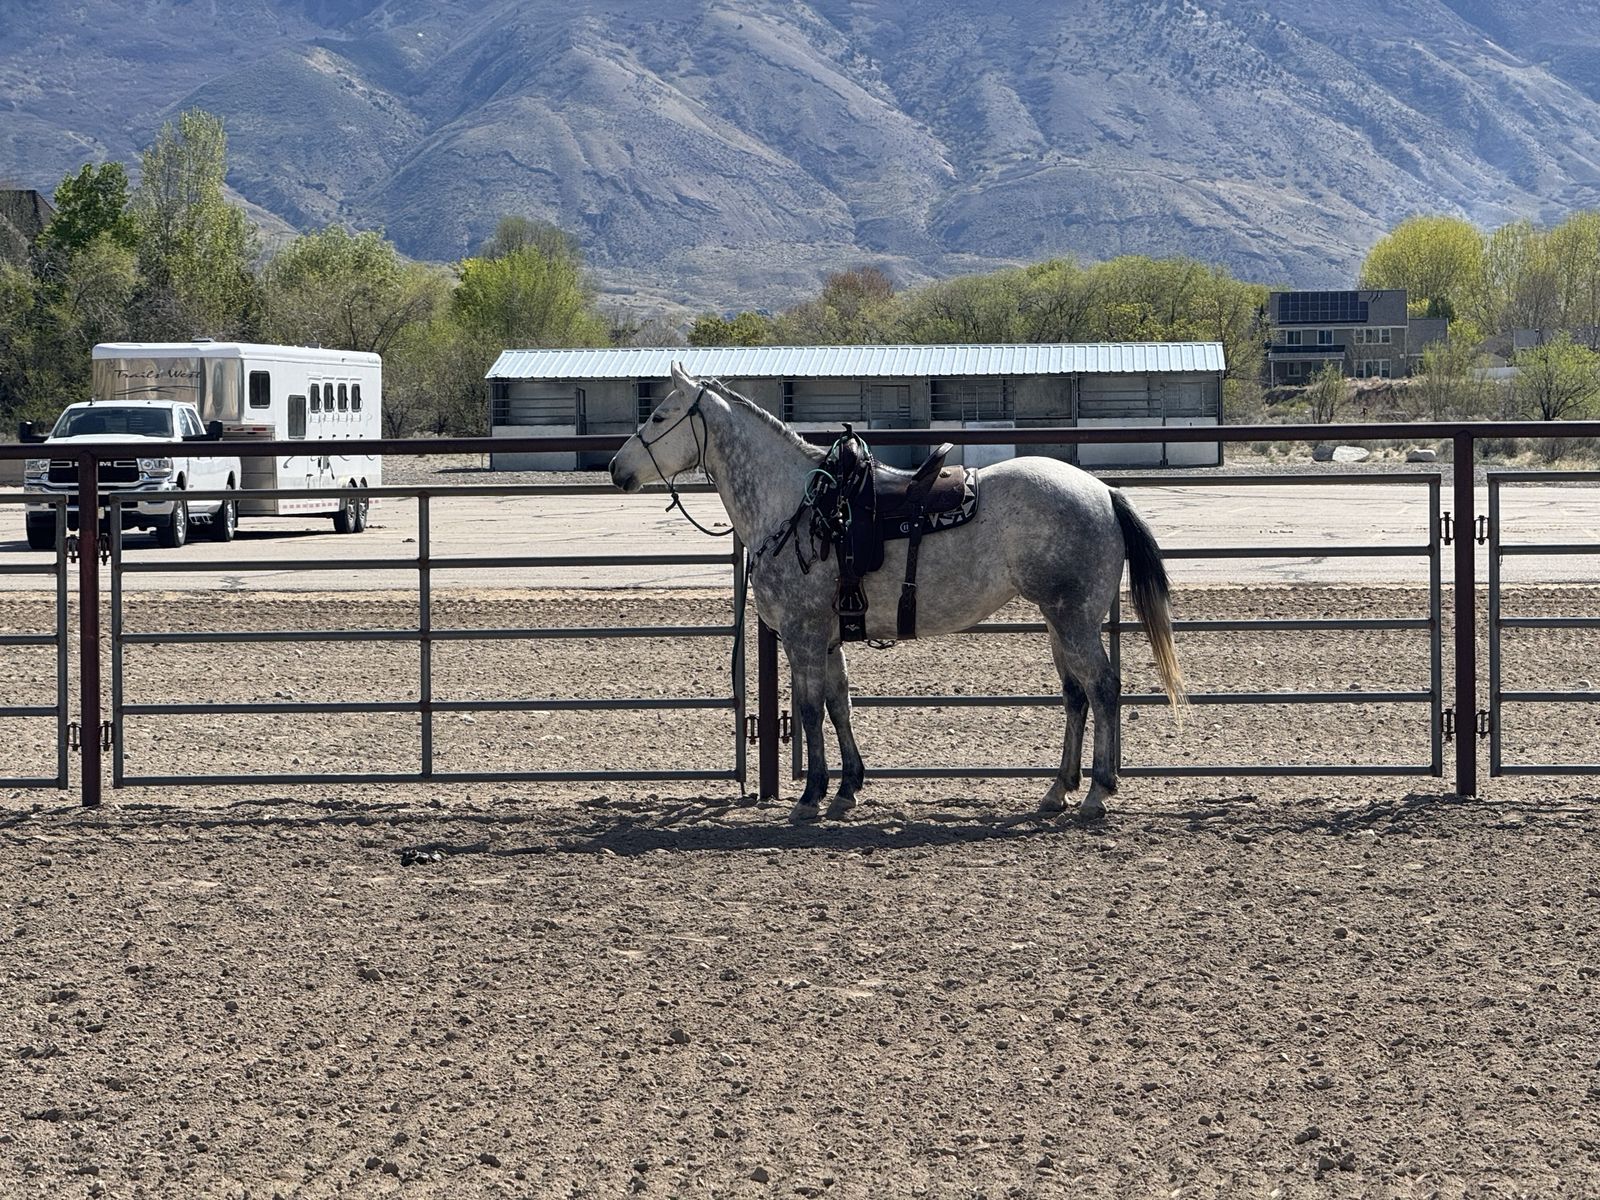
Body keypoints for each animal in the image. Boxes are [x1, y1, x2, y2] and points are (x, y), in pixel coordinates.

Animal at [609, 363, 1185, 821]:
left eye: (659, 416)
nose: (617, 469)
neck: (800, 507)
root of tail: (1103, 492)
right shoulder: (829, 636)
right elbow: (839, 704)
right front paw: (847, 789)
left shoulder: (802, 632)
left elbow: (810, 709)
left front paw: (810, 797)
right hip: (1057, 618)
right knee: (1075, 694)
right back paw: (1056, 791)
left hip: (1074, 616)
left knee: (1103, 687)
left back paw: (1096, 793)